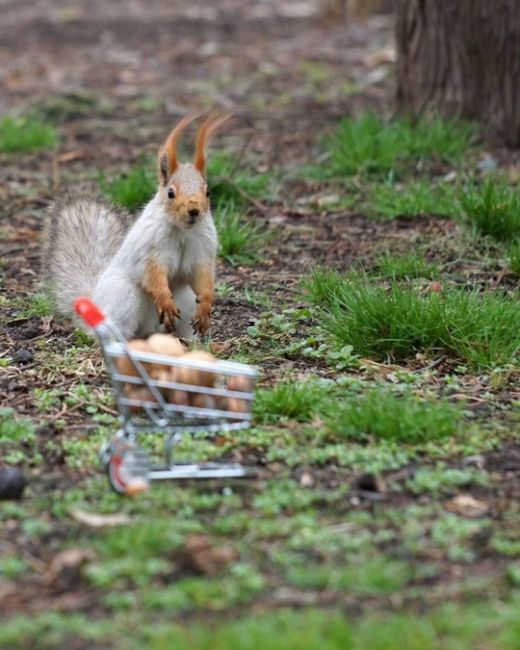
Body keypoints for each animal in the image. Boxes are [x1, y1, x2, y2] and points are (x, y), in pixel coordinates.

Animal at [43, 112, 231, 340]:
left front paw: (205, 306)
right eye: (170, 193)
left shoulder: (203, 251)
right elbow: (152, 276)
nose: (194, 210)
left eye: (208, 192)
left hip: (185, 300)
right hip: (123, 296)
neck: (182, 231)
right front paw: (165, 301)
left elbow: (203, 279)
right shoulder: (149, 250)